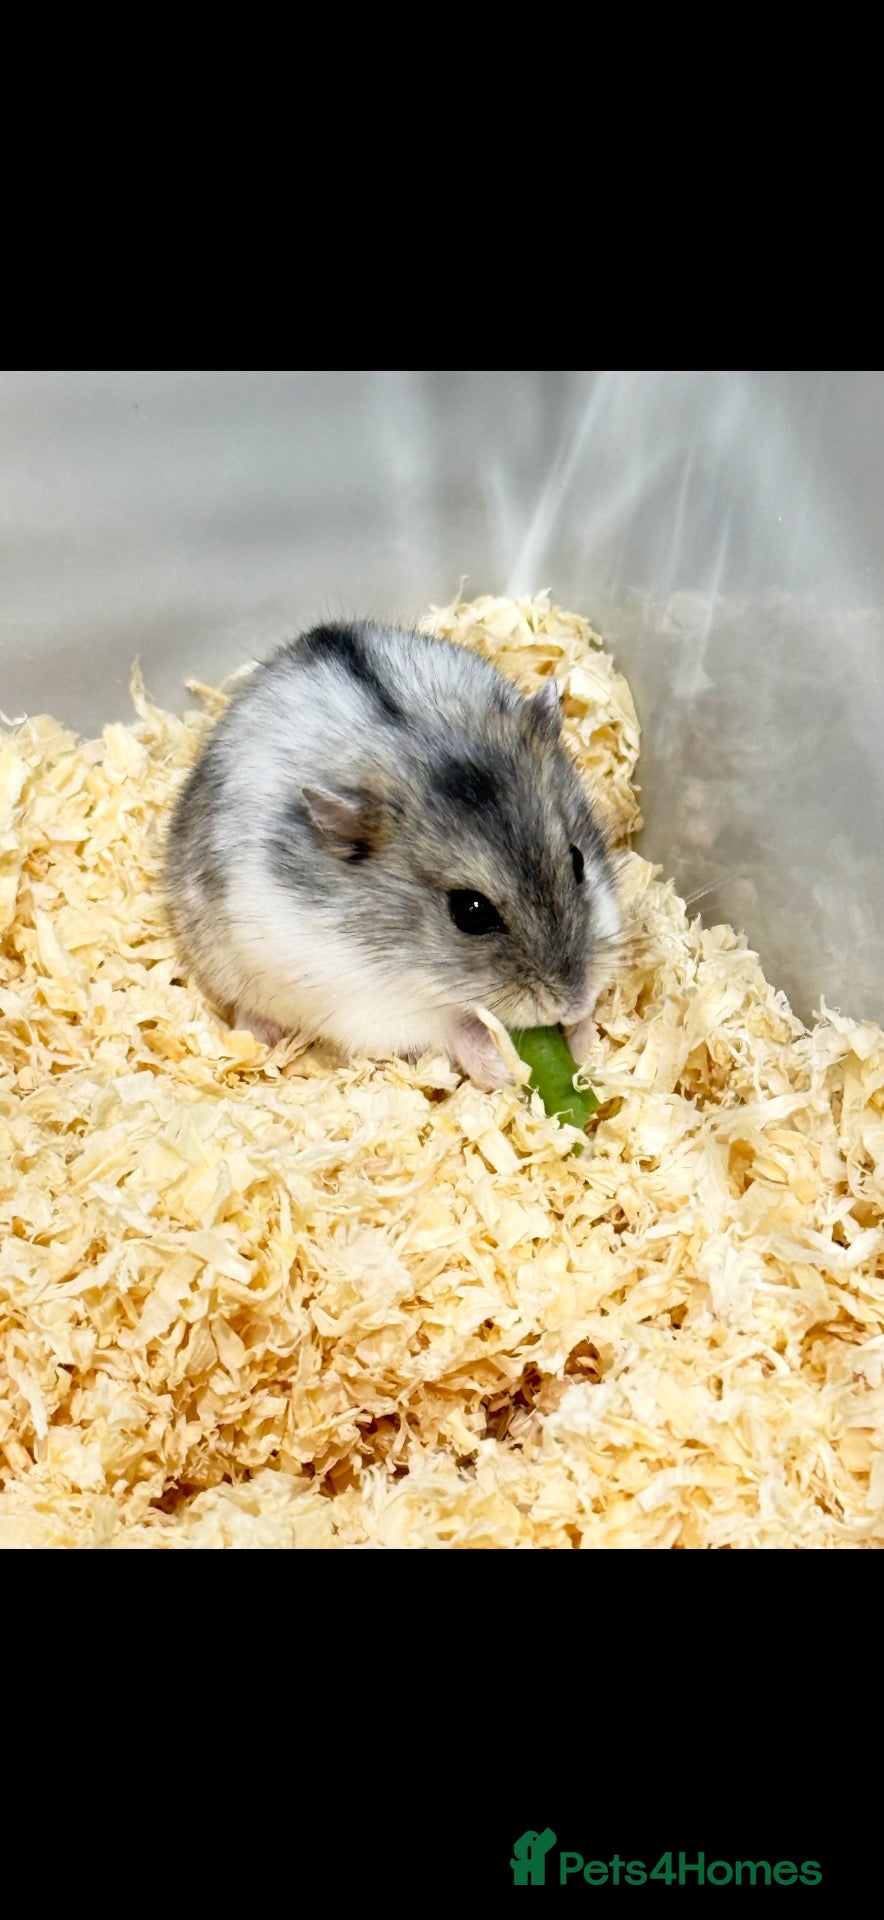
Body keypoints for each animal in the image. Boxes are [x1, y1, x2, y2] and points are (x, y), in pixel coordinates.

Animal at [164, 620, 621, 1091]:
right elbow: (451, 1027)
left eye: (577, 860)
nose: (574, 1000)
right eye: (470, 912)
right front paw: (501, 1070)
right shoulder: (370, 1005)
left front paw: (583, 1040)